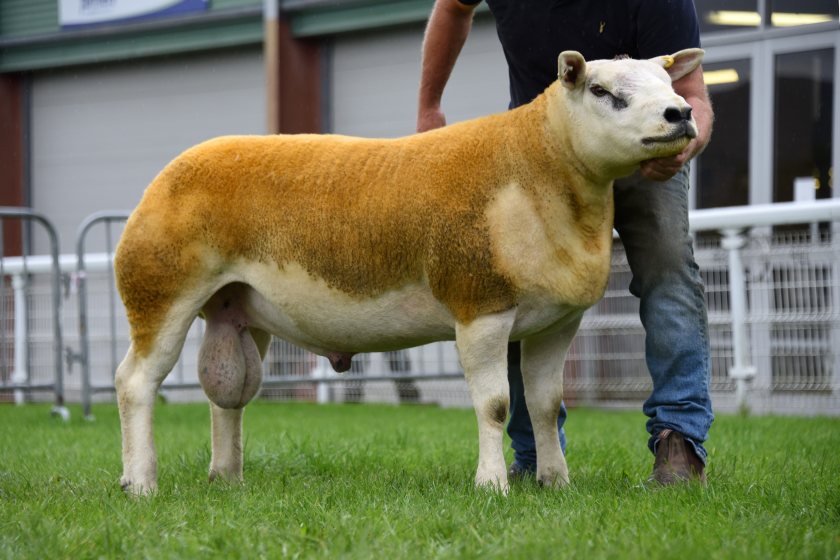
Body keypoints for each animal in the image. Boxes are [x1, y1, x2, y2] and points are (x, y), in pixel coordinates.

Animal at [111, 48, 704, 494]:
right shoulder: (480, 308)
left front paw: (557, 483)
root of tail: (167, 175)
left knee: (227, 394)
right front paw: (492, 485)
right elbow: (495, 405)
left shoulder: (558, 323)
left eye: (666, 81)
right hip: (160, 293)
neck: (538, 167)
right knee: (134, 382)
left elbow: (544, 404)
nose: (681, 114)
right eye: (602, 91)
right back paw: (140, 483)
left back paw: (226, 478)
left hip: (237, 309)